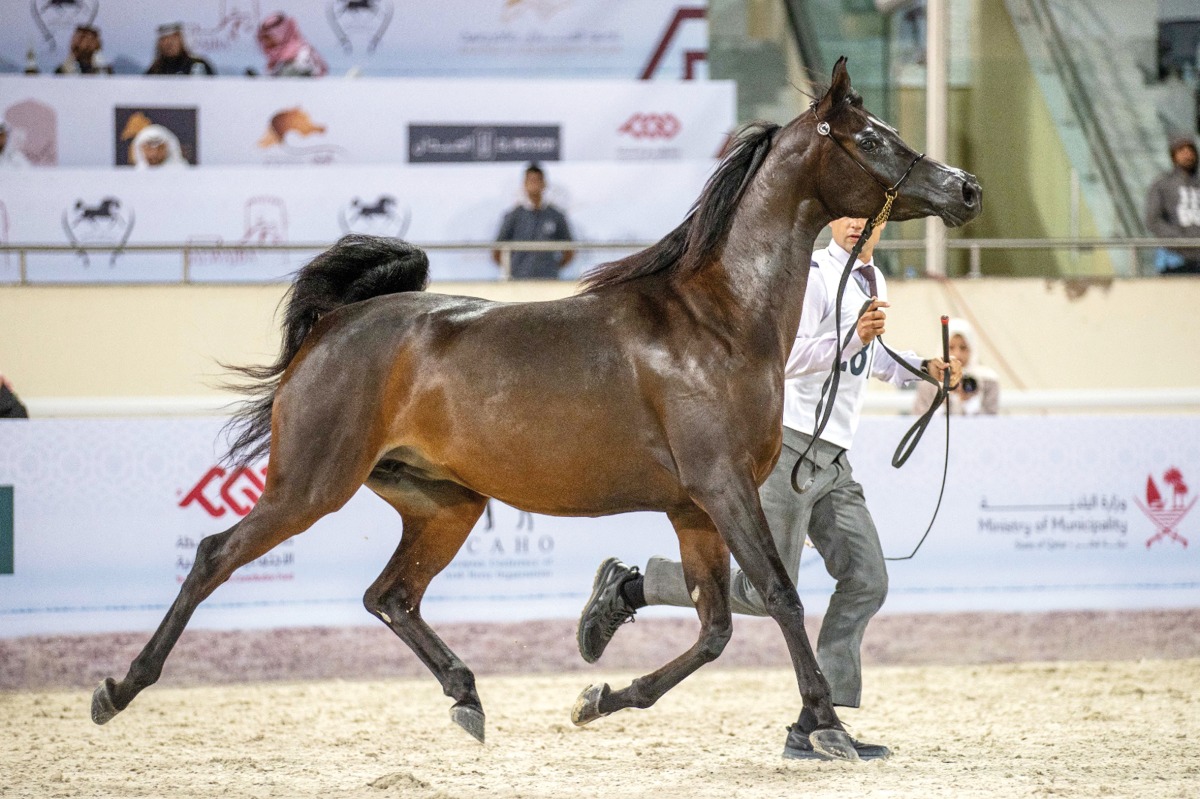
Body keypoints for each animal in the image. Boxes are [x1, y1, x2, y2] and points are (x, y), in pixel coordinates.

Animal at [90, 58, 981, 760]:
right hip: (308, 486)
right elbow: (782, 597)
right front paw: (827, 724)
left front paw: (600, 697)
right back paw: (119, 687)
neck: (717, 322)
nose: (966, 189)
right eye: (872, 138)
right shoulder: (725, 489)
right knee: (214, 556)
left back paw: (467, 696)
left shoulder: (693, 508)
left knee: (390, 596)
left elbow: (716, 624)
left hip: (443, 502)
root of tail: (337, 324)